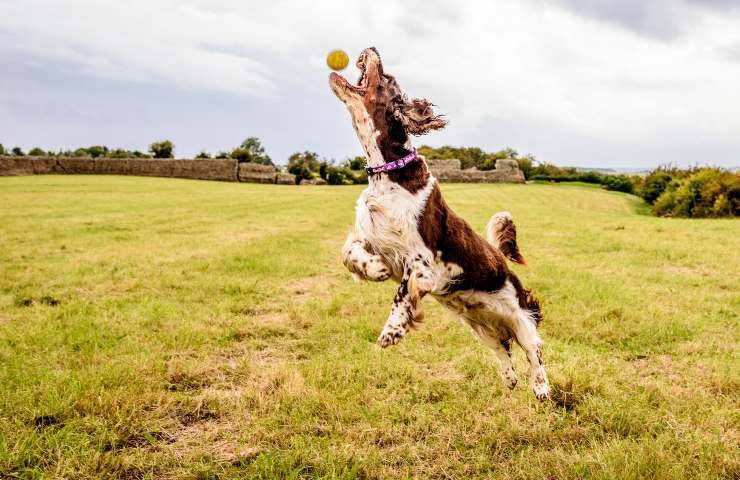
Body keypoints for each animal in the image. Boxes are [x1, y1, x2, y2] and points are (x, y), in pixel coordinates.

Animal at [330, 47, 548, 400]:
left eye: (387, 78)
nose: (372, 49)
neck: (390, 173)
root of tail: (501, 261)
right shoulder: (373, 236)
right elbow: (349, 252)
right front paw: (374, 268)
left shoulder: (421, 261)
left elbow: (403, 294)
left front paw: (392, 331)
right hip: (480, 325)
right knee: (501, 349)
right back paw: (509, 379)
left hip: (520, 316)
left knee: (533, 351)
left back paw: (541, 388)